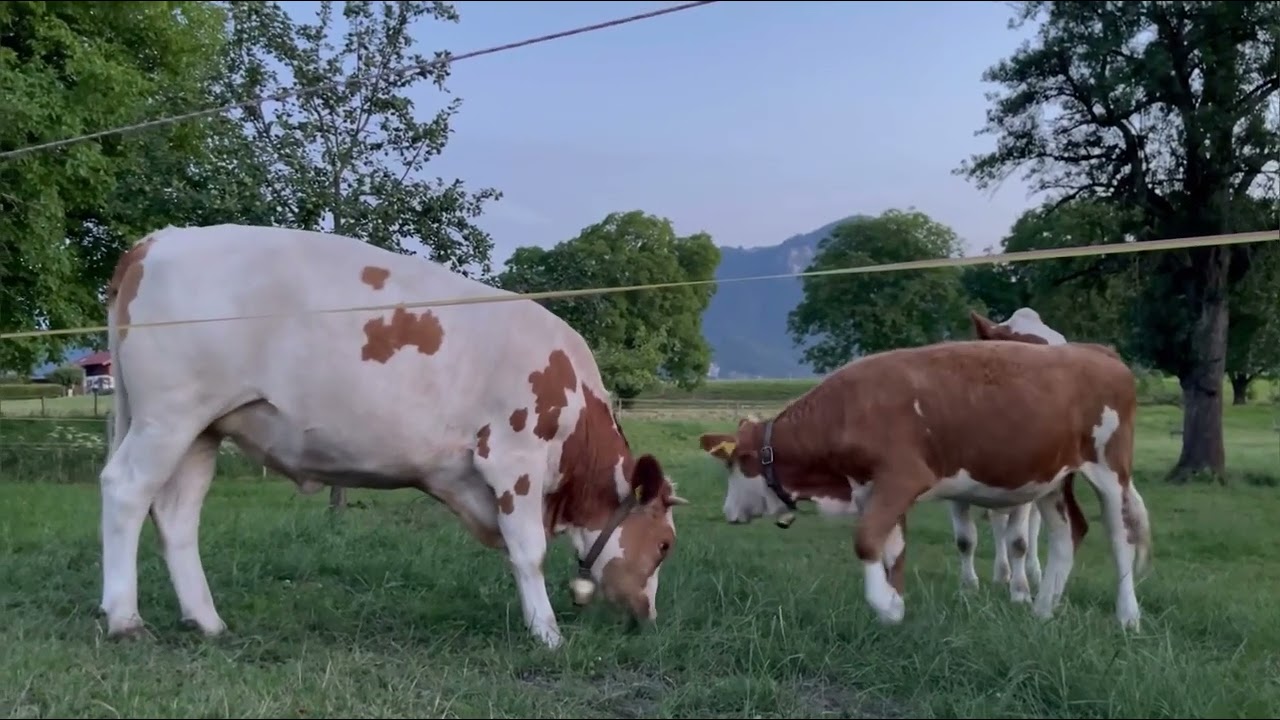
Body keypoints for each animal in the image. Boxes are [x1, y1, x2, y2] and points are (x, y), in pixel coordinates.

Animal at [98, 223, 689, 650]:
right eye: (664, 544)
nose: (649, 617)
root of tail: (157, 240)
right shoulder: (513, 461)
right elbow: (530, 553)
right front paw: (547, 634)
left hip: (202, 428)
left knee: (177, 514)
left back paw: (206, 620)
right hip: (167, 415)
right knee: (125, 490)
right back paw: (125, 619)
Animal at [696, 338, 1152, 630]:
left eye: (733, 464)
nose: (727, 512)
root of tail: (1095, 351)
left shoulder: (902, 477)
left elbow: (866, 541)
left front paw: (884, 606)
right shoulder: (875, 489)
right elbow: (892, 550)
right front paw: (896, 604)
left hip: (1110, 468)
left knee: (1120, 537)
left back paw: (1128, 616)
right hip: (1053, 478)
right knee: (1068, 531)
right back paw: (1043, 610)